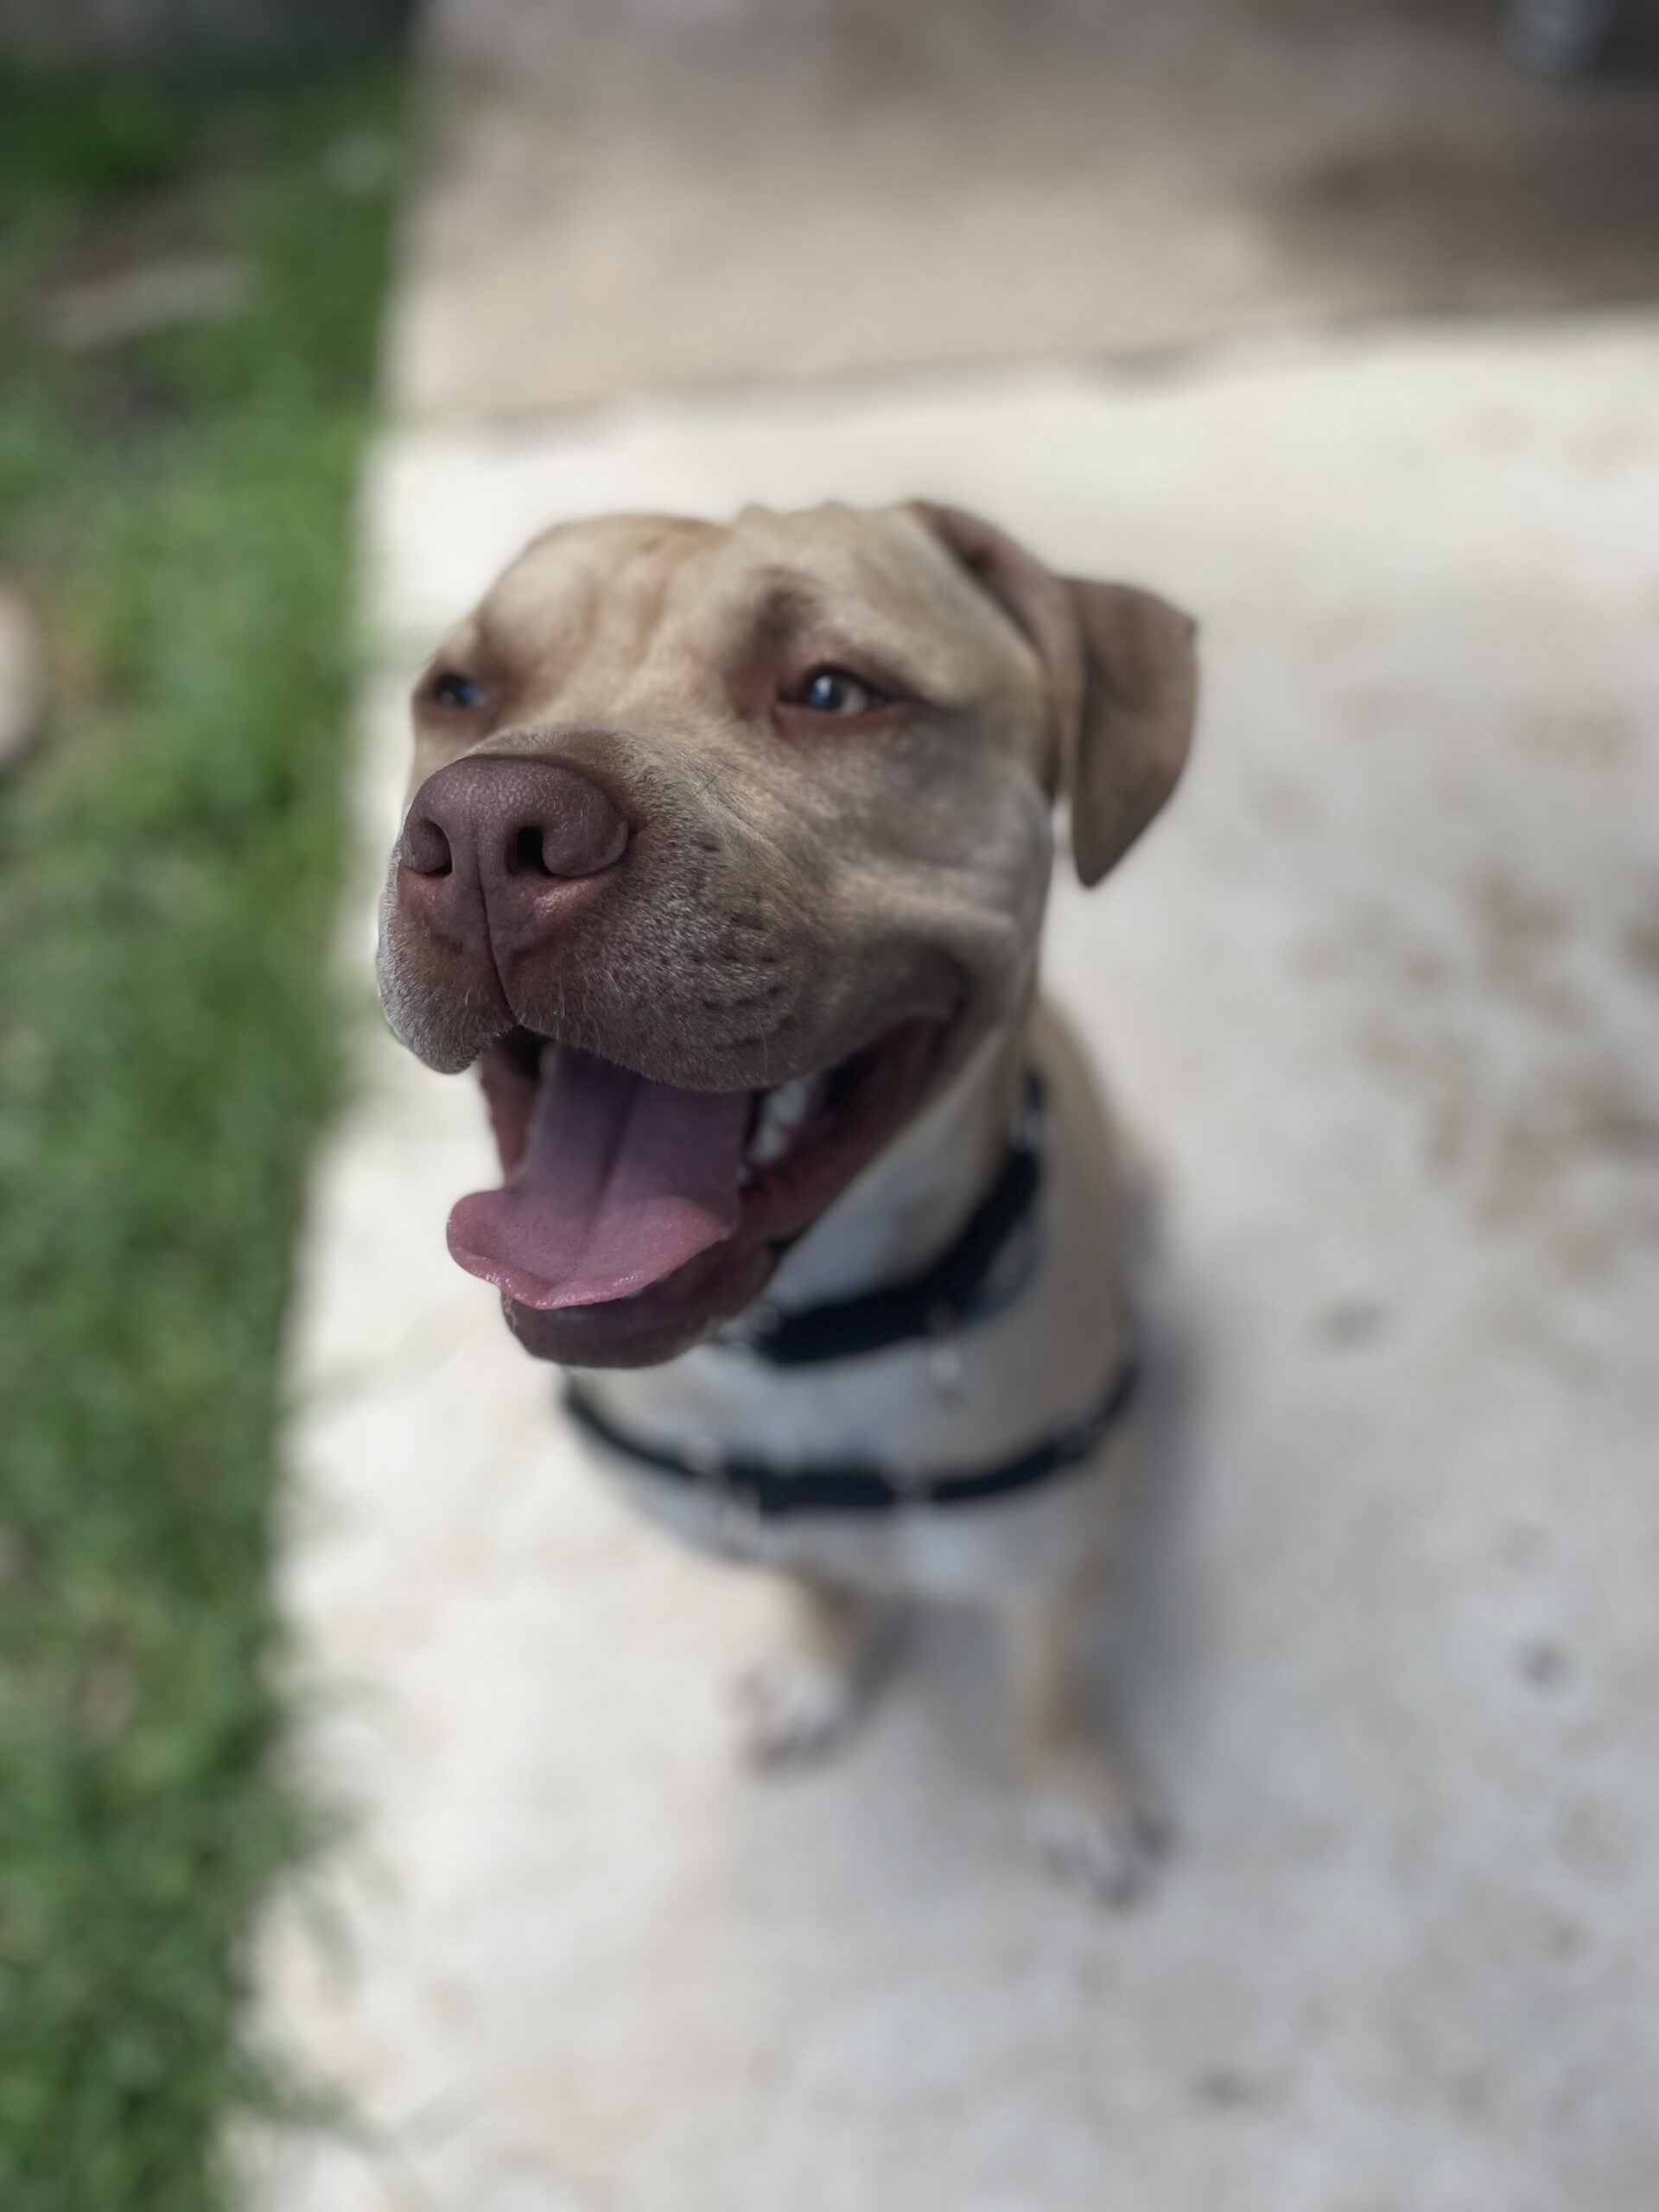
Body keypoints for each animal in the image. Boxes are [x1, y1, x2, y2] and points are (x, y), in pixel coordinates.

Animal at [378, 500, 1198, 1900]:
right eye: (462, 691)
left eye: (831, 690)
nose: (484, 832)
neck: (807, 1347)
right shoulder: (766, 1531)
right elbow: (819, 1589)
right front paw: (820, 1671)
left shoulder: (1051, 1560)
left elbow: (1047, 1682)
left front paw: (1072, 1788)